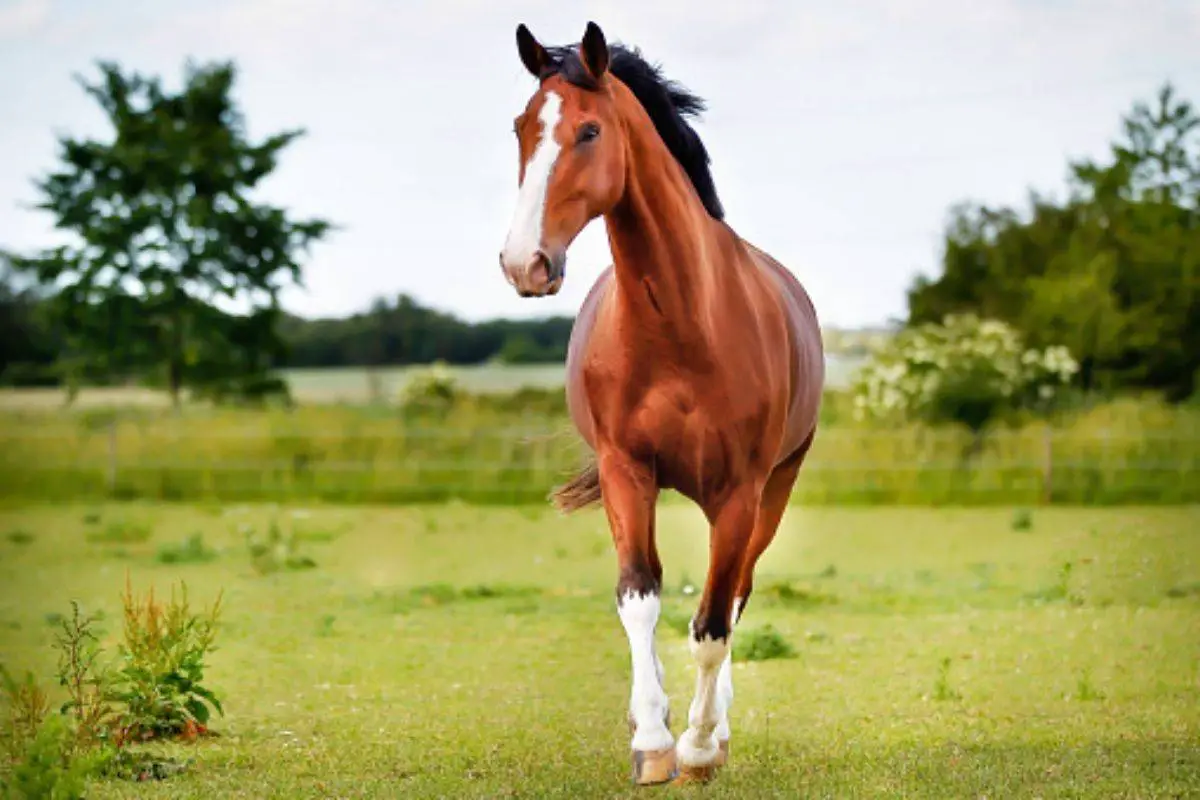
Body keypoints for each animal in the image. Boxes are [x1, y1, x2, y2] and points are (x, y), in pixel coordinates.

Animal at [496, 21, 825, 786]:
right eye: (521, 128)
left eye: (589, 131)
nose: (524, 263)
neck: (680, 323)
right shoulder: (626, 471)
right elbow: (639, 599)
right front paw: (652, 740)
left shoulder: (740, 490)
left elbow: (712, 625)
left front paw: (699, 747)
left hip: (771, 491)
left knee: (736, 595)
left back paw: (716, 729)